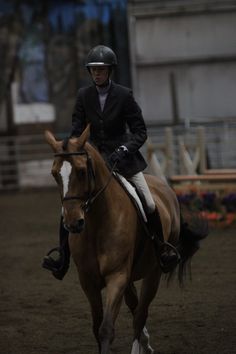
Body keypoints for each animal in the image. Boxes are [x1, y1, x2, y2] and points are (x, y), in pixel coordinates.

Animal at [45, 126, 207, 352]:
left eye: (82, 171)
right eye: (54, 174)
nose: (73, 223)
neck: (97, 224)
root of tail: (163, 185)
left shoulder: (117, 276)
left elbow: (106, 328)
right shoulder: (88, 281)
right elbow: (97, 326)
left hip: (154, 271)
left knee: (140, 314)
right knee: (135, 306)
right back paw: (146, 342)